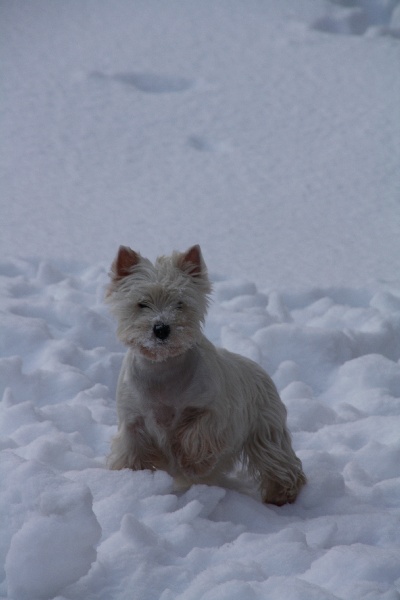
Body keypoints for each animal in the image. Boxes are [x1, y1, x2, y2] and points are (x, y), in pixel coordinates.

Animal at [105, 244, 306, 505]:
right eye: (141, 303)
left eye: (180, 303)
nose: (161, 329)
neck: (162, 369)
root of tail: (259, 368)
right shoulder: (133, 421)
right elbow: (133, 453)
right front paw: (132, 480)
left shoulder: (215, 411)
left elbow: (197, 434)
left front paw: (193, 463)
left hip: (266, 428)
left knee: (277, 460)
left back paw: (281, 494)